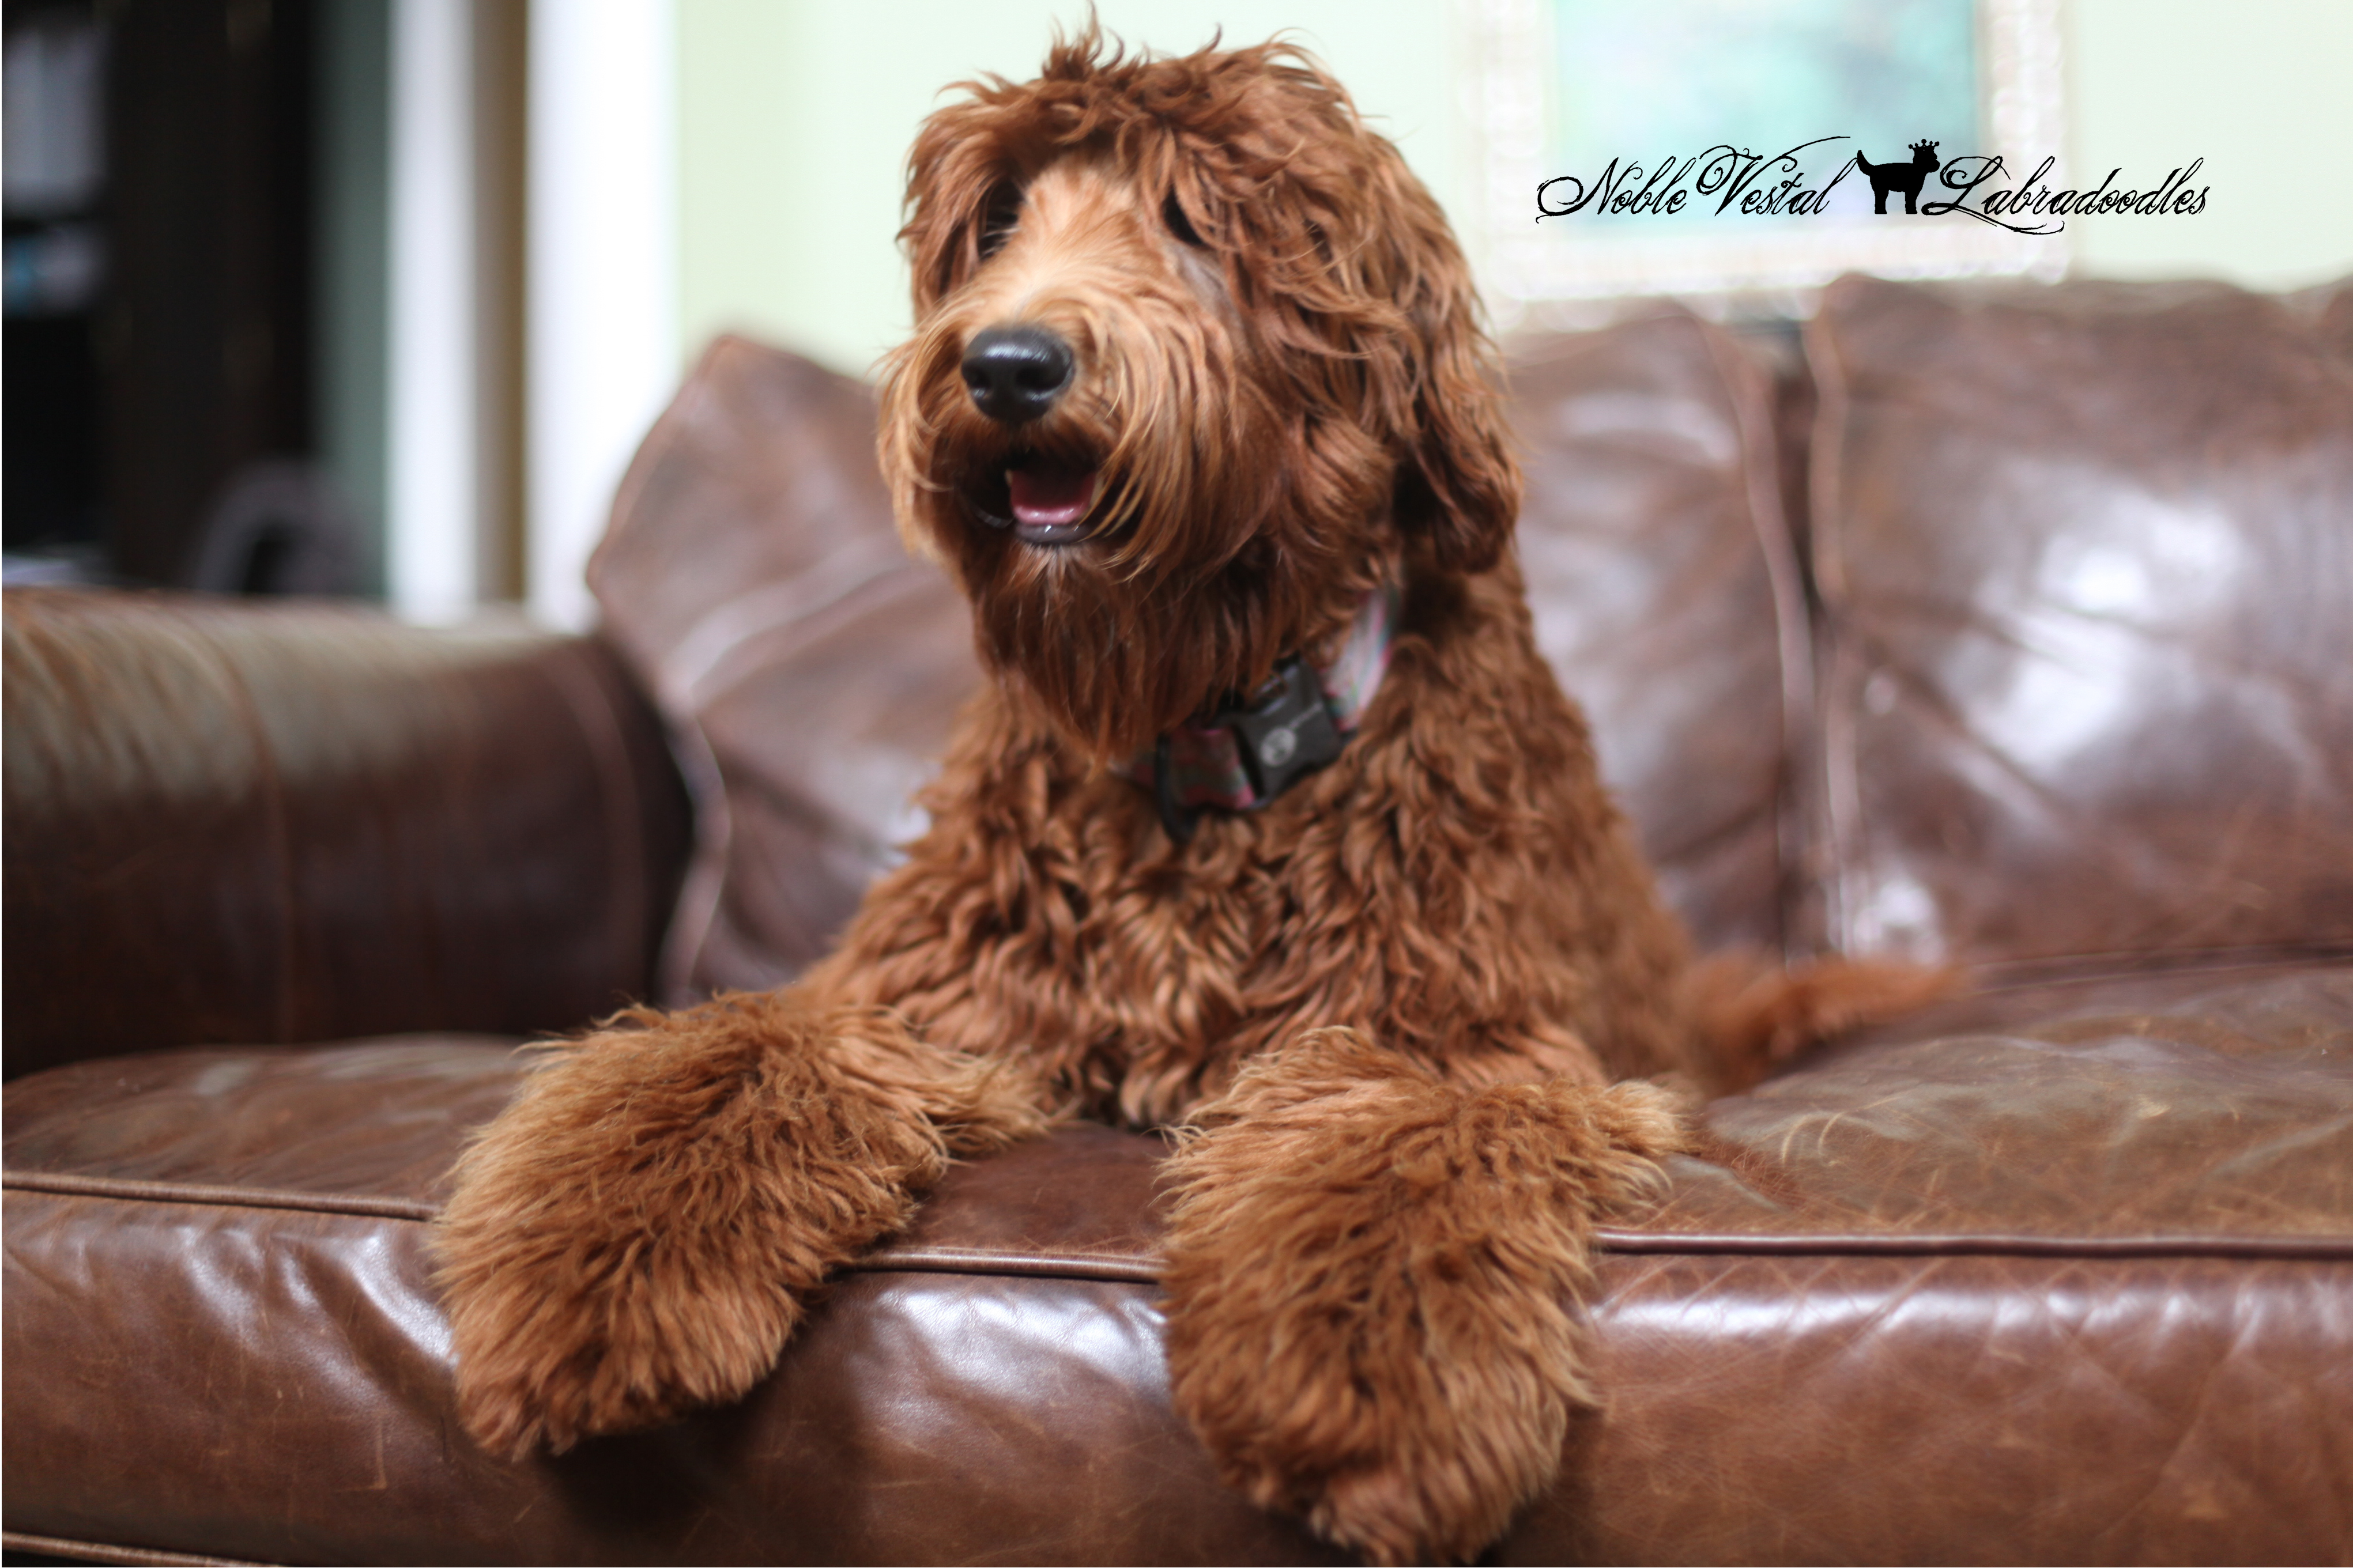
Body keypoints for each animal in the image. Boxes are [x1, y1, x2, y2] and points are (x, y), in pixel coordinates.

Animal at [437, 29, 1943, 1564]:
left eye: (1193, 221)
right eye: (1001, 220)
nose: (1008, 363)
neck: (1199, 746)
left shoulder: (1444, 1034)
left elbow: (1381, 1153)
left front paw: (1369, 1393)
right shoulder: (919, 996)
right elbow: (724, 1059)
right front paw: (595, 1275)